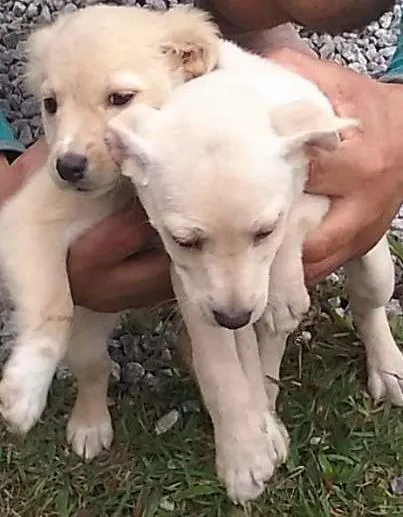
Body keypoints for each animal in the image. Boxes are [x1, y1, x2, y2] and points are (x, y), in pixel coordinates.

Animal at [0, 4, 219, 460]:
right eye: (50, 104)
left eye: (120, 98)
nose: (68, 167)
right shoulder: (26, 222)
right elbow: (54, 308)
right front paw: (25, 390)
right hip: (91, 326)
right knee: (94, 369)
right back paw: (90, 424)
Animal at [108, 40, 403, 503]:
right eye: (185, 241)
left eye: (264, 231)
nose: (234, 317)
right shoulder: (192, 287)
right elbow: (223, 368)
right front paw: (243, 452)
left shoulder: (324, 184)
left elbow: (295, 218)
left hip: (374, 263)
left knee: (367, 306)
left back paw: (388, 367)